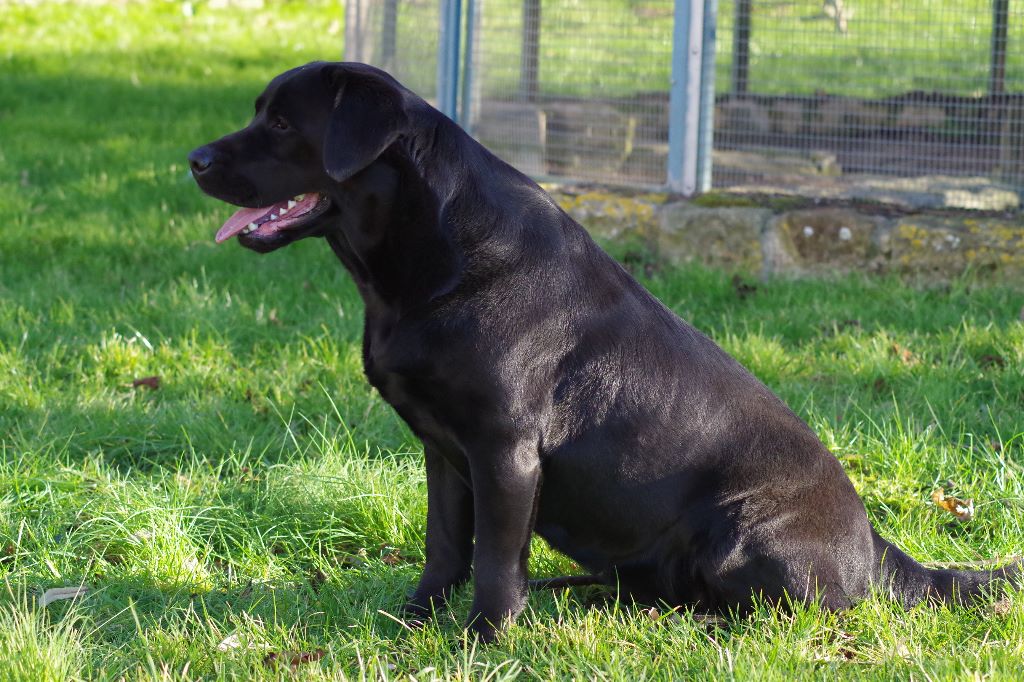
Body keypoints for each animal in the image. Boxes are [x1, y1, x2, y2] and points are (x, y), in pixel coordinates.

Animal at [190, 61, 1015, 638]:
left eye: (282, 124)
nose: (195, 158)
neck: (426, 260)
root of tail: (878, 547)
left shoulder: (506, 451)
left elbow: (493, 561)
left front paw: (482, 641)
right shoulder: (442, 450)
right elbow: (444, 548)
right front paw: (414, 621)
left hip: (741, 528)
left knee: (787, 613)